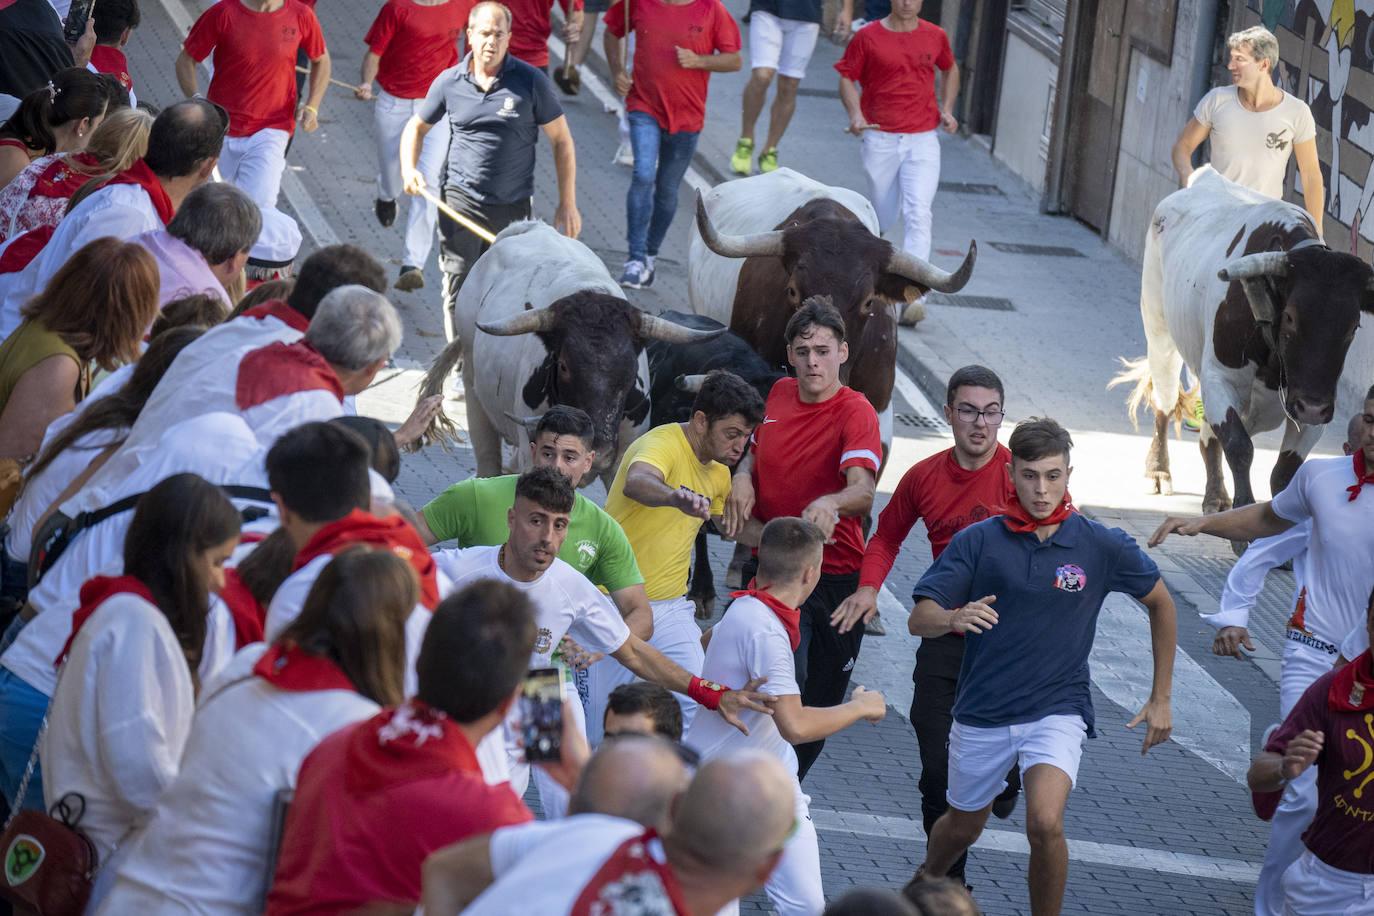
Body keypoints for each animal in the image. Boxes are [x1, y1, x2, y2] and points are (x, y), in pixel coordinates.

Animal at [414, 219, 719, 486]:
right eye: (563, 366)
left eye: (632, 371)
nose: (602, 450)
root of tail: (529, 226)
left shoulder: (623, 461)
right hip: (475, 393)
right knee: (488, 461)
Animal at [1115, 168, 1374, 519]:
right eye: (1290, 317)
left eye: (1353, 326)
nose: (1311, 407)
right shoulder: (1219, 378)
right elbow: (1239, 446)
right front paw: (1242, 513)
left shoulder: (1317, 407)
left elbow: (1284, 472)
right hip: (1159, 331)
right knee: (1165, 402)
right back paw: (1159, 470)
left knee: (1208, 435)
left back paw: (1215, 495)